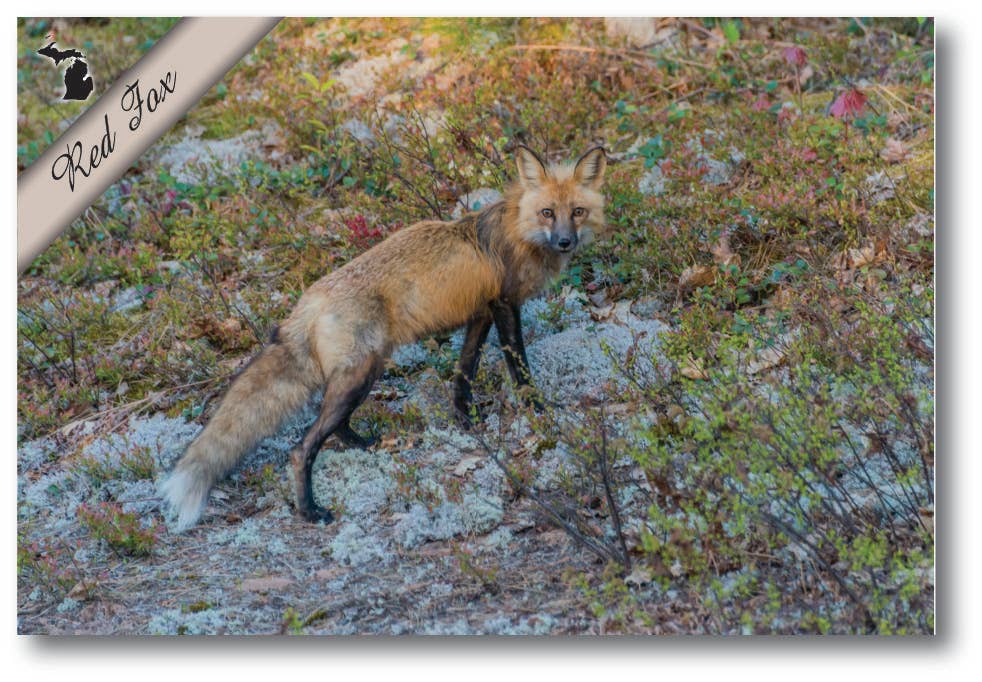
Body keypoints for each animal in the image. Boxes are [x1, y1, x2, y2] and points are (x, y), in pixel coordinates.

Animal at [160, 145, 607, 531]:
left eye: (577, 212)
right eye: (547, 213)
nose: (565, 241)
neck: (519, 230)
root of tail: (309, 298)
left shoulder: (480, 314)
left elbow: (464, 371)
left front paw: (466, 420)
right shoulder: (505, 305)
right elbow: (519, 367)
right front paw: (541, 411)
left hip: (358, 374)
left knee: (332, 425)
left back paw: (363, 445)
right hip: (362, 373)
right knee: (302, 448)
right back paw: (310, 510)